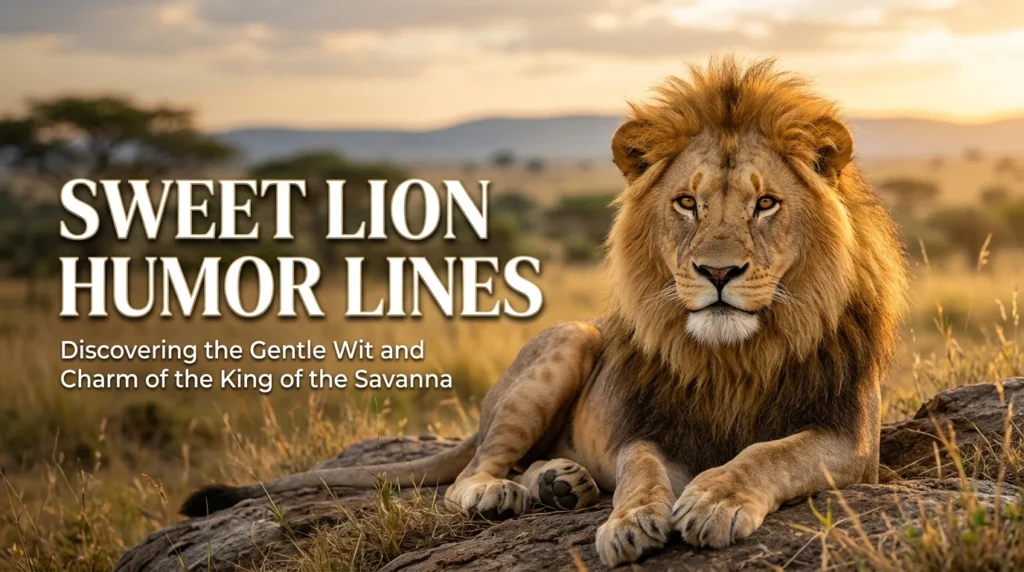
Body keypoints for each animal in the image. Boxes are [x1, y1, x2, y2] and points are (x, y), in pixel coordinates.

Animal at [180, 57, 908, 567]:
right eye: (686, 203)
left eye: (765, 204)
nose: (718, 273)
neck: (736, 354)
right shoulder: (650, 429)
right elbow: (642, 471)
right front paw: (629, 522)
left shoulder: (851, 440)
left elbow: (772, 451)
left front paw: (714, 499)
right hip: (570, 340)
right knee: (467, 475)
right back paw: (515, 490)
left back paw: (562, 483)